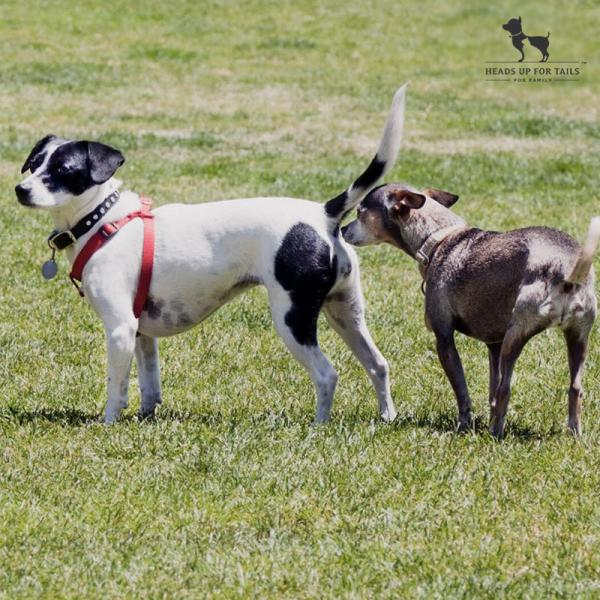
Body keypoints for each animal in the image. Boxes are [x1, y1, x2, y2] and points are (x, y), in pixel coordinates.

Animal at [342, 183, 600, 436]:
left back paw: (495, 434)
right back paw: (573, 434)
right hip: (577, 338)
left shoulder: (444, 339)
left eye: (360, 213)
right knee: (574, 388)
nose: (342, 230)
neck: (437, 239)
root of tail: (566, 272)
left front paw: (464, 425)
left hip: (516, 336)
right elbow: (491, 390)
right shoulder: (494, 345)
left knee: (505, 388)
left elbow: (462, 391)